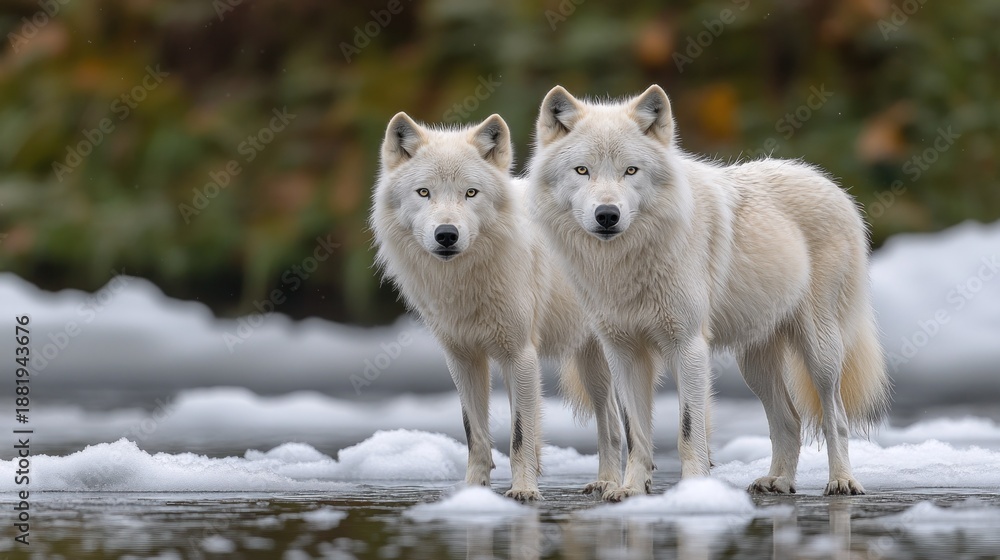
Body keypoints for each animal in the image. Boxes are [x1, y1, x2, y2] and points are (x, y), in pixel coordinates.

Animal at [370, 112, 623, 501]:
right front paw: (472, 491)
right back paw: (606, 481)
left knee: (617, 423)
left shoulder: (520, 355)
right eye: (424, 192)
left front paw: (524, 489)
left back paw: (613, 484)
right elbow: (474, 433)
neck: (464, 282)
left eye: (470, 193)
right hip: (589, 363)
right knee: (609, 420)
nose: (447, 235)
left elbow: (520, 435)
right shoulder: (463, 358)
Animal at [528, 85, 891, 500]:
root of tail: (832, 185)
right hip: (755, 365)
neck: (625, 264)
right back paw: (778, 481)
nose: (607, 215)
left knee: (836, 417)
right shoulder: (623, 352)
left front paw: (693, 491)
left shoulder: (688, 346)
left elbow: (689, 429)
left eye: (630, 170)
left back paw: (842, 480)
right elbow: (636, 433)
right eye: (582, 170)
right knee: (790, 421)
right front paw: (630, 489)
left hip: (821, 354)